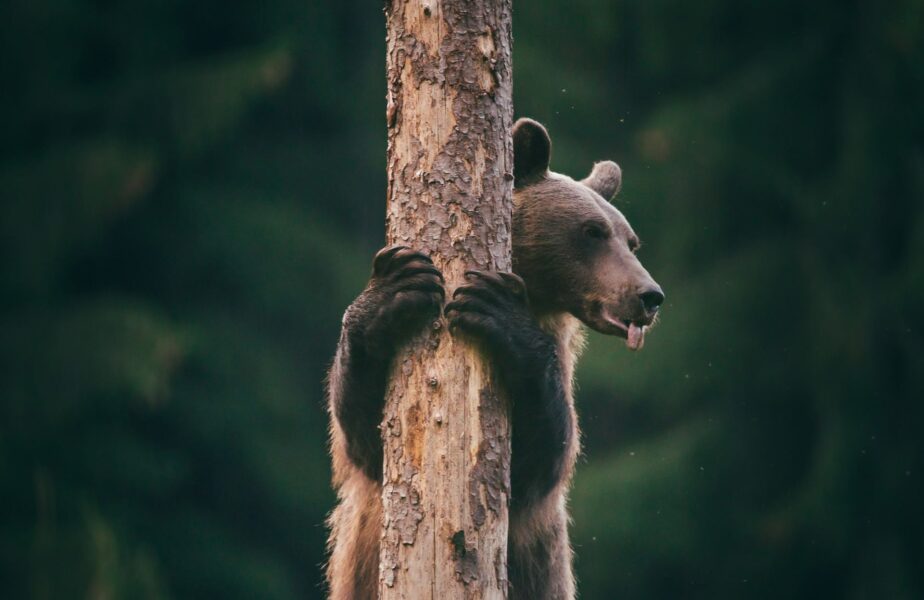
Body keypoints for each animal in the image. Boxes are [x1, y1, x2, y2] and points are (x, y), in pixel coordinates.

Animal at [324, 118, 664, 600]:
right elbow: (363, 438)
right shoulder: (368, 473)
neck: (537, 294)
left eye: (630, 240)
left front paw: (494, 308)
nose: (649, 295)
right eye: (593, 231)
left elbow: (541, 461)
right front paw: (398, 284)